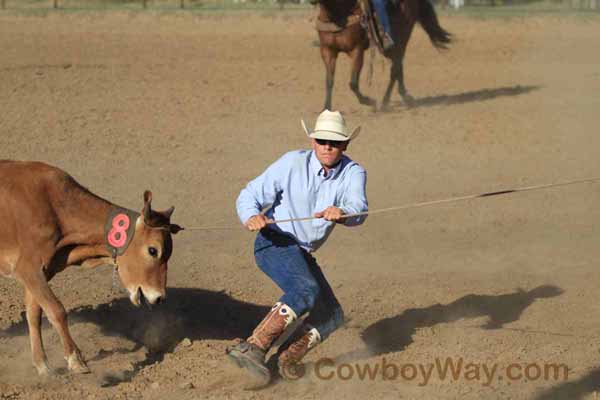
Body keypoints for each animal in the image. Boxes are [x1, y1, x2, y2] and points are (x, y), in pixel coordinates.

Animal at [0, 159, 183, 376]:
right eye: (153, 250)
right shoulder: (27, 268)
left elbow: (34, 313)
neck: (55, 206)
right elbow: (56, 309)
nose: (159, 297)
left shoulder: (43, 271)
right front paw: (76, 360)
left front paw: (43, 366)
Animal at [318, 0, 450, 109]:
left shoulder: (356, 50)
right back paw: (405, 97)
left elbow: (353, 83)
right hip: (390, 47)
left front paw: (369, 101)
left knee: (395, 69)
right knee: (398, 66)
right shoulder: (327, 51)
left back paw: (385, 102)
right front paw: (326, 108)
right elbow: (329, 81)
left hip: (402, 38)